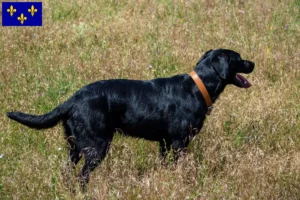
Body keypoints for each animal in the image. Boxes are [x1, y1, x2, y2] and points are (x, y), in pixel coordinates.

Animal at [7, 48, 254, 188]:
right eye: (239, 58)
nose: (253, 63)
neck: (198, 87)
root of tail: (73, 99)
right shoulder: (179, 142)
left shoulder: (164, 143)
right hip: (97, 147)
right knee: (82, 177)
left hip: (74, 147)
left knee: (68, 173)